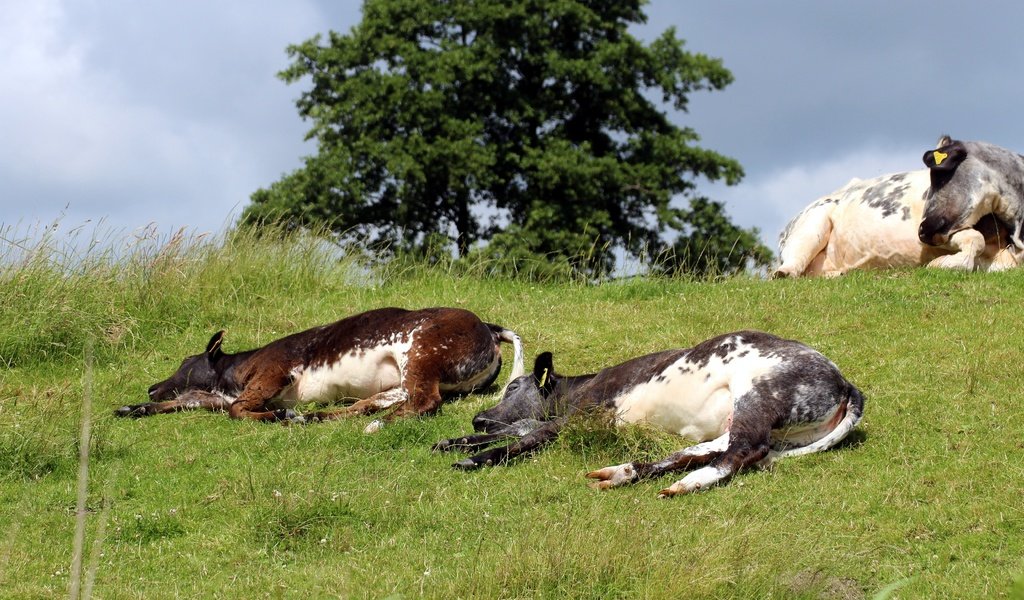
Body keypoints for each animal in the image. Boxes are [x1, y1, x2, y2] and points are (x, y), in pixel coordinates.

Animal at [116, 303, 524, 430]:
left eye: (187, 362)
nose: (151, 386)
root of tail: (489, 326)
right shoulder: (217, 396)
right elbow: (189, 402)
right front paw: (133, 407)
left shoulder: (274, 371)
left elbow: (238, 409)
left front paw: (277, 416)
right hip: (402, 379)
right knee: (375, 403)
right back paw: (317, 417)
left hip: (420, 352)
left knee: (424, 402)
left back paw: (376, 425)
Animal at [432, 329, 864, 493]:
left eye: (514, 387)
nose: (478, 416)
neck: (580, 385)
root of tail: (844, 381)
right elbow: (518, 429)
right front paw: (455, 441)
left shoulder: (581, 415)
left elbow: (527, 436)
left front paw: (476, 458)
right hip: (744, 423)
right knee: (703, 451)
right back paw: (623, 473)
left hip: (757, 396)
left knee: (742, 452)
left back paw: (686, 484)